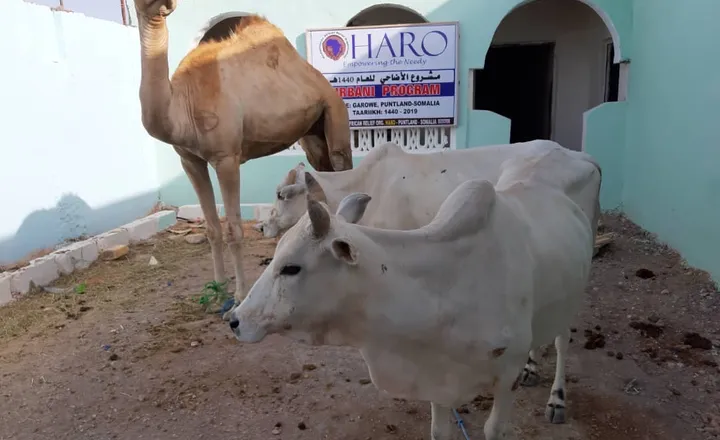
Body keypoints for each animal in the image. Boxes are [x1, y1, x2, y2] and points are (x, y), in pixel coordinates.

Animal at [132, 0, 354, 312]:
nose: (166, 4)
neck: (183, 105)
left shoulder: (226, 157)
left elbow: (234, 229)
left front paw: (238, 296)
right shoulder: (190, 160)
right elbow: (212, 229)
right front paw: (217, 292)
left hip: (335, 113)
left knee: (343, 167)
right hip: (312, 134)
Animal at [229, 145, 602, 440]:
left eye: (291, 267)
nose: (234, 319)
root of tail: (581, 156)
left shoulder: (504, 378)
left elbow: (494, 428)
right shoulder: (436, 377)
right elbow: (439, 430)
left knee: (563, 339)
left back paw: (557, 398)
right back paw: (533, 367)